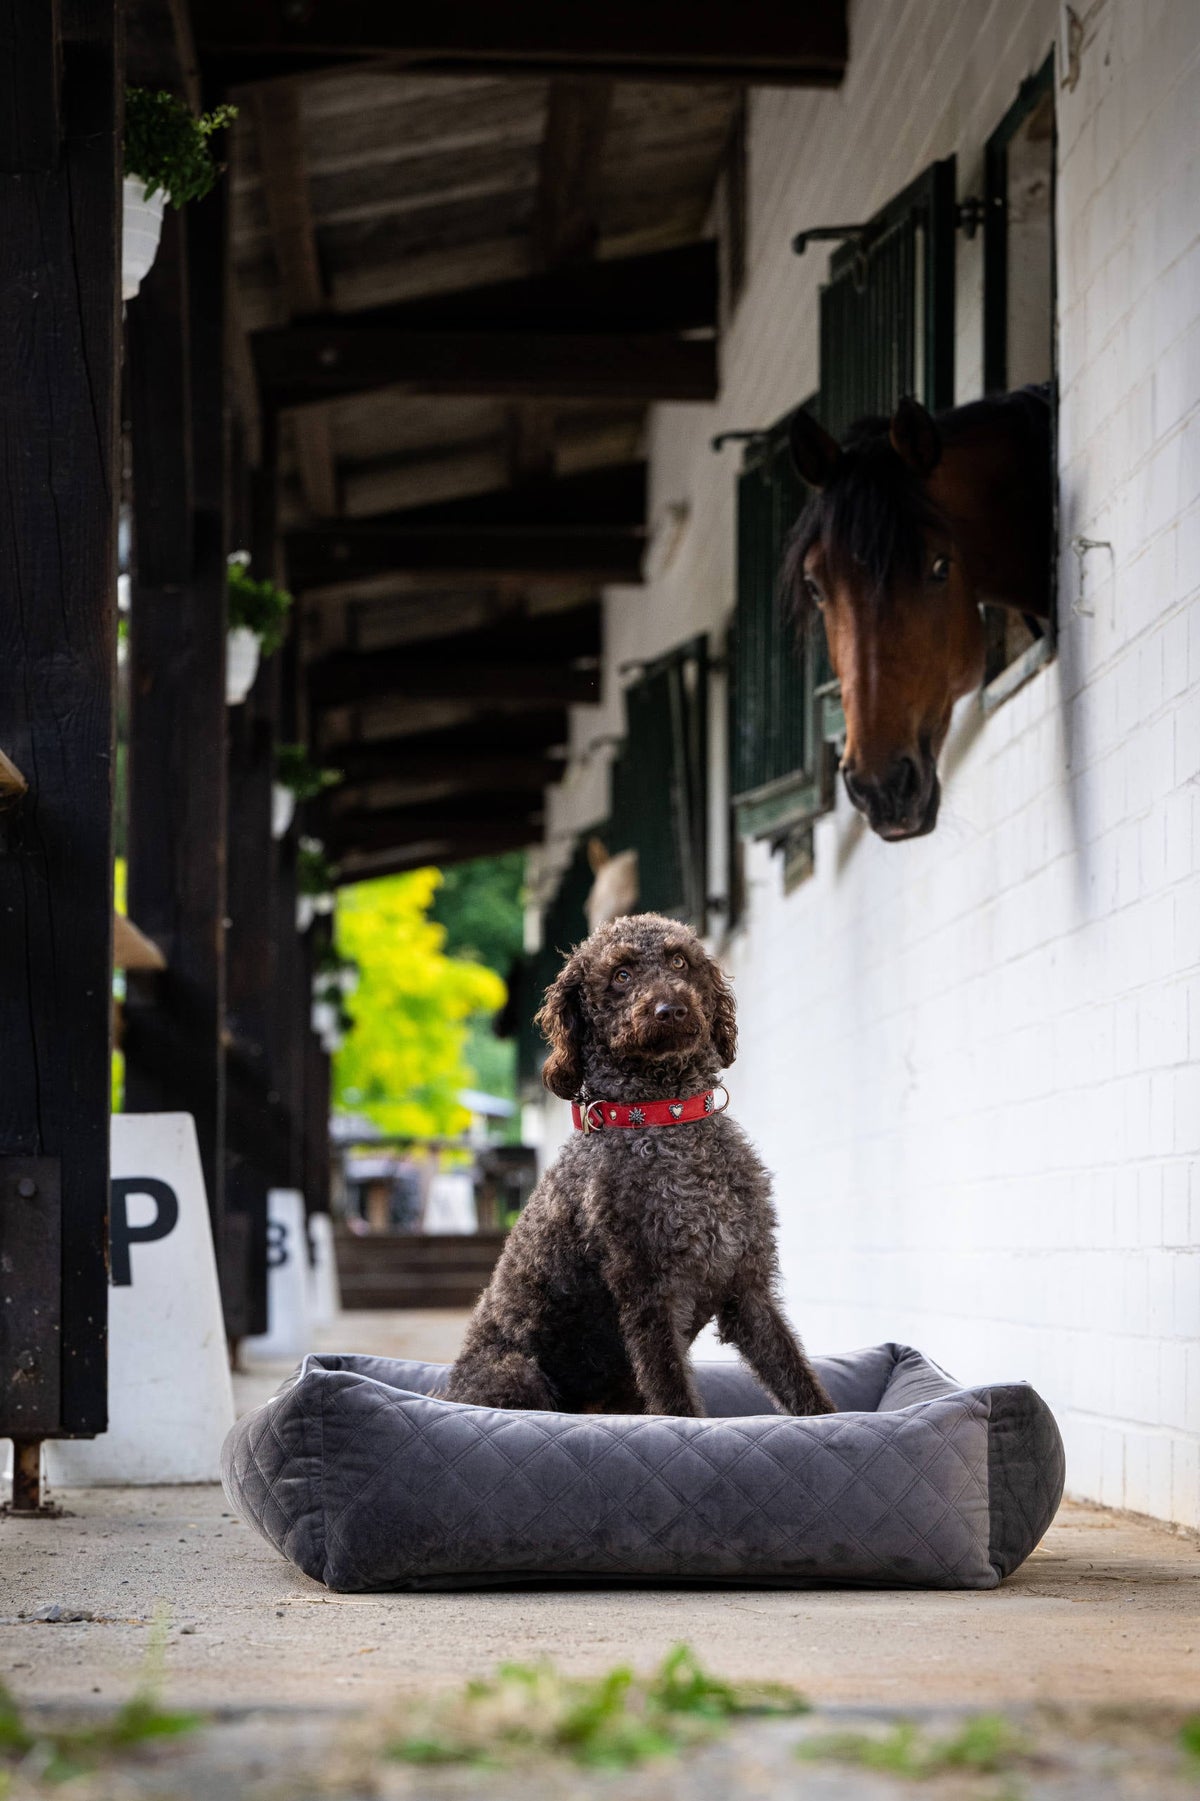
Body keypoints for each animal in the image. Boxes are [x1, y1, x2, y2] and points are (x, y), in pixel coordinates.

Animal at [441, 914, 832, 1419]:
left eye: (679, 961)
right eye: (621, 975)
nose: (672, 1009)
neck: (668, 1119)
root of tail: (446, 1390)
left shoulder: (746, 1287)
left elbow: (799, 1380)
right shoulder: (648, 1298)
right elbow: (674, 1402)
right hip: (515, 1371)